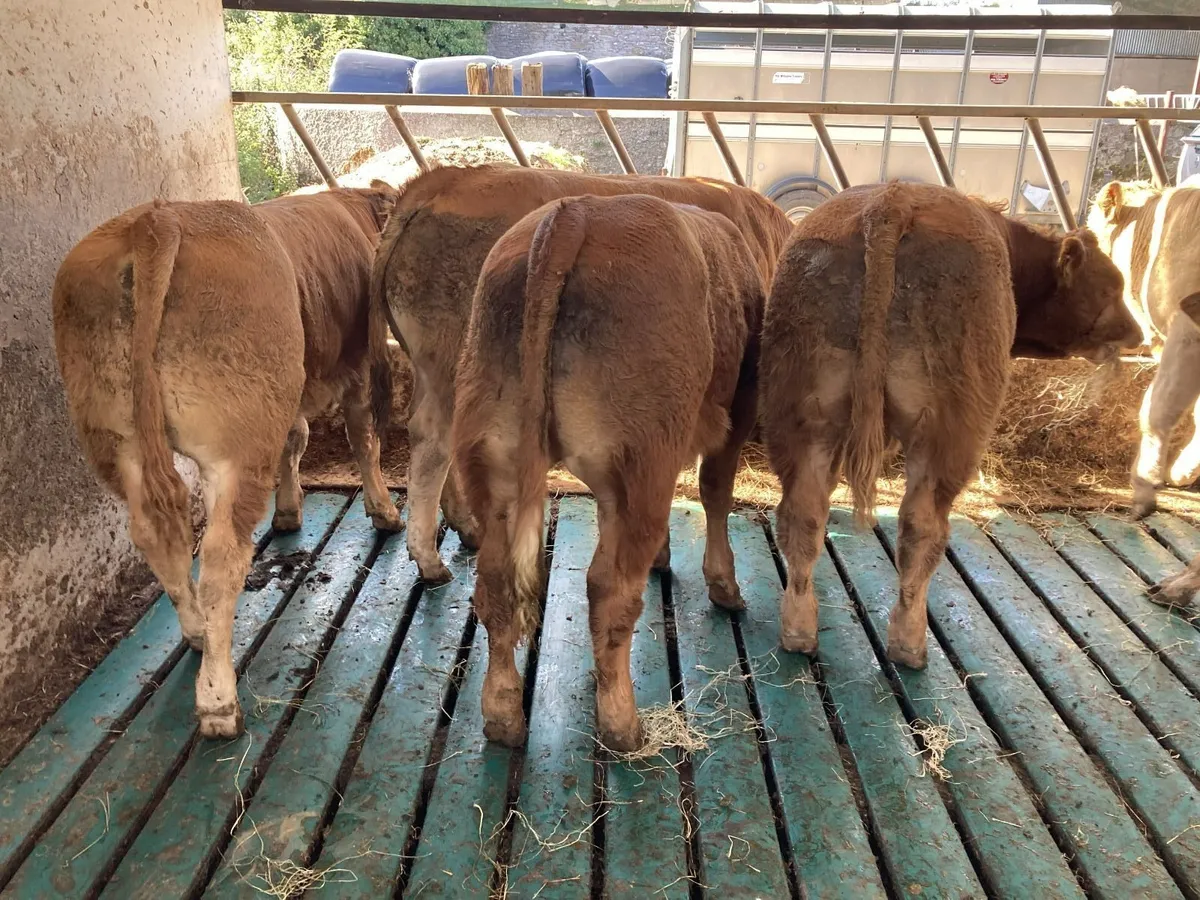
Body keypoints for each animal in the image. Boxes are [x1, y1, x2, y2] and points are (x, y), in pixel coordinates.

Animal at [52, 183, 399, 739]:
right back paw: (218, 699)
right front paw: (384, 512)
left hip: (118, 438)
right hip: (237, 441)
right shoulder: (357, 366)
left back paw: (196, 633)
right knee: (219, 558)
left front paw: (289, 512)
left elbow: (295, 440)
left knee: (156, 536)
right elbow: (363, 441)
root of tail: (156, 221)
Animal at [373, 163, 792, 584]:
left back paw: (467, 529)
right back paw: (429, 559)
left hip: (432, 370)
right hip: (454, 364)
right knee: (433, 443)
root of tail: (443, 180)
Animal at [452, 194, 765, 751]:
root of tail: (575, 212)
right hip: (642, 458)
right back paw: (622, 723)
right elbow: (714, 493)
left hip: (493, 453)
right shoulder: (739, 410)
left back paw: (503, 716)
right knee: (610, 588)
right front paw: (724, 586)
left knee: (497, 582)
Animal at [760, 182, 1141, 670]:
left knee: (803, 513)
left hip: (806, 418)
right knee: (921, 527)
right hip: (945, 434)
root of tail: (891, 201)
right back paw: (910, 643)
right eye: (1110, 285)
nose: (1137, 334)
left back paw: (799, 628)